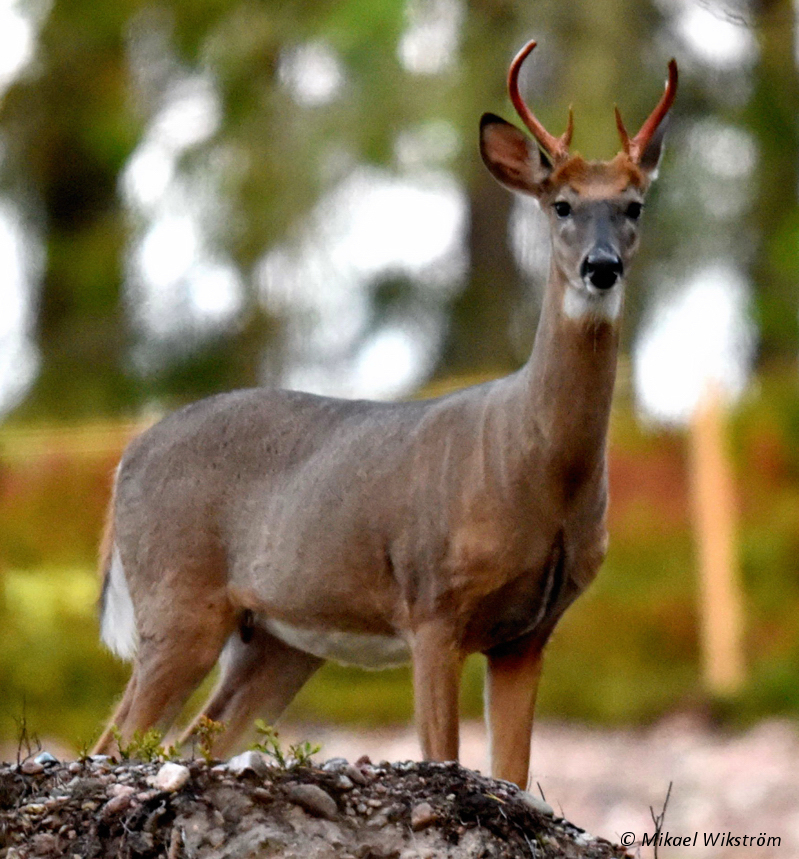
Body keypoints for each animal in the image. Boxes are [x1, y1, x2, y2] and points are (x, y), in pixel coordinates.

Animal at [95, 43, 680, 788]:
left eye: (634, 205)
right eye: (561, 205)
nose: (600, 267)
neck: (537, 474)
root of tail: (126, 457)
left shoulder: (529, 631)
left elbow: (513, 772)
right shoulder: (432, 603)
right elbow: (444, 754)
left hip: (279, 638)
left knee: (201, 735)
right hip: (178, 597)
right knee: (114, 739)